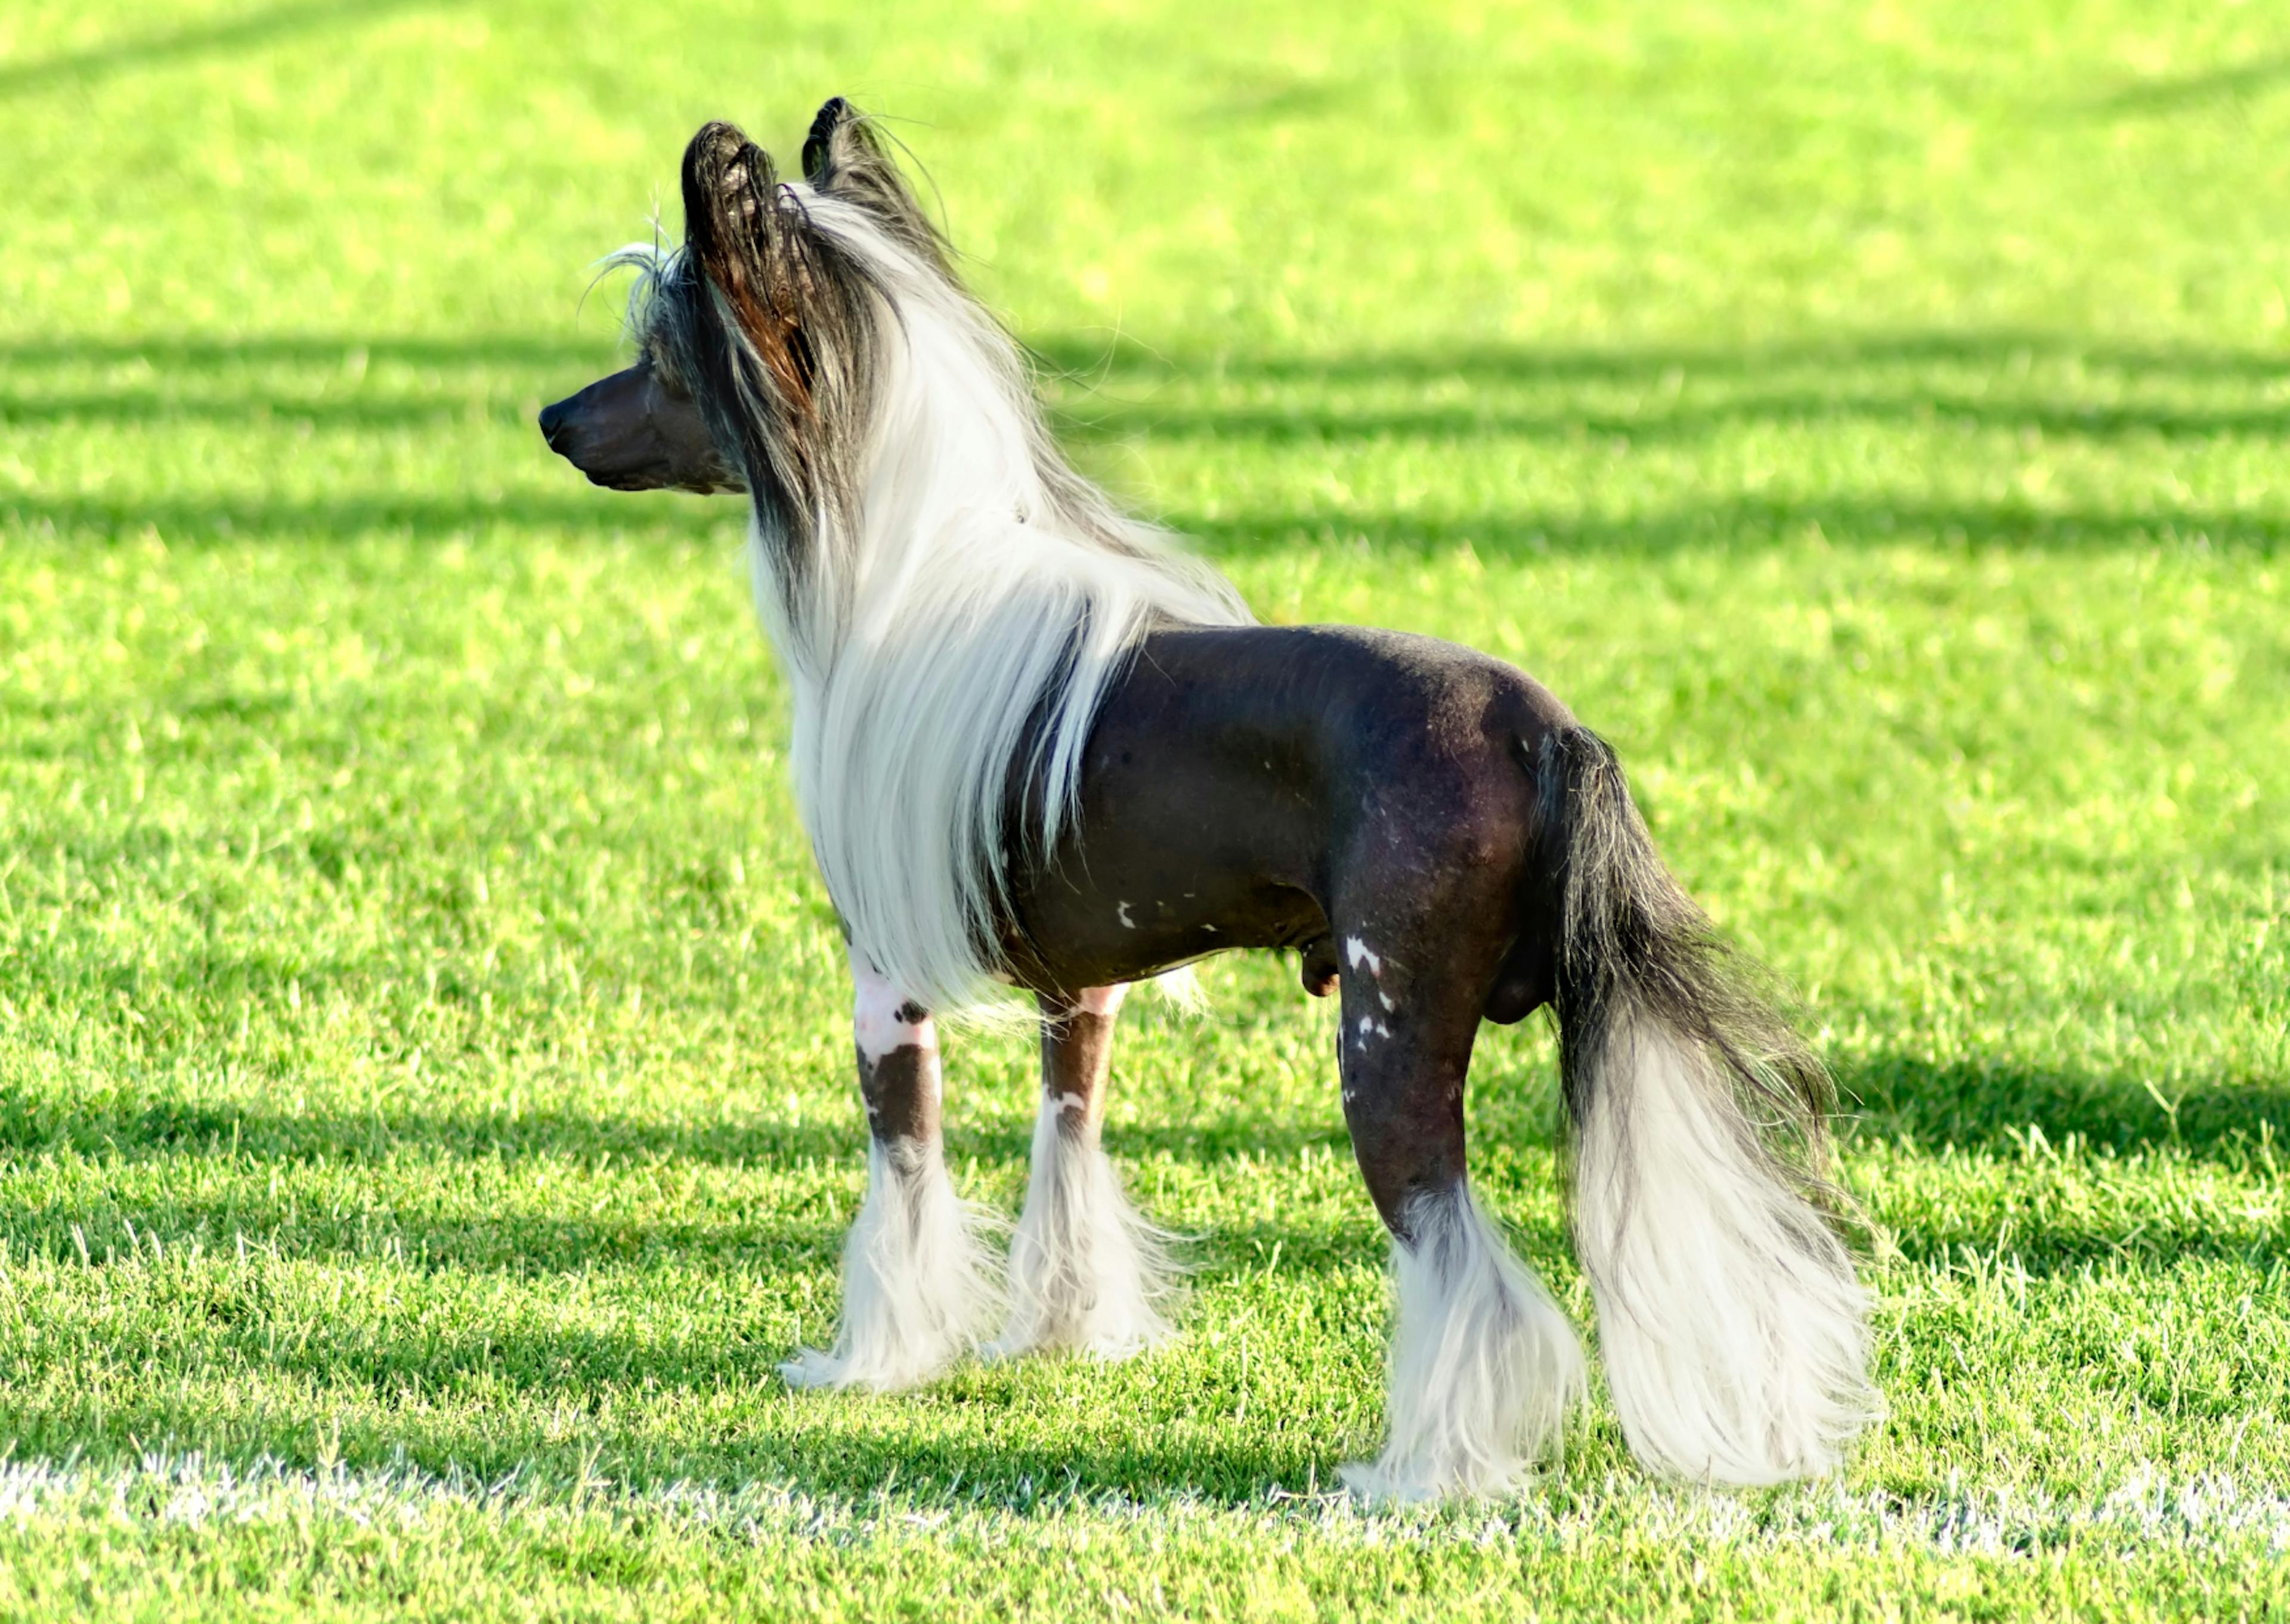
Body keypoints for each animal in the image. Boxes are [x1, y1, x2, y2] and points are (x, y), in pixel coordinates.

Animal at [540, 98, 1877, 1493]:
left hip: (1390, 1032)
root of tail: (1543, 728)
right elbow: (1068, 1141)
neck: (912, 580)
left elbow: (903, 1175)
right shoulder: (1084, 988)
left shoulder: (883, 984)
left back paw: (1427, 1470)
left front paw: (876, 1363)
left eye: (662, 357)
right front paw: (1063, 1332)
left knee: (1459, 1259)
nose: (551, 418)